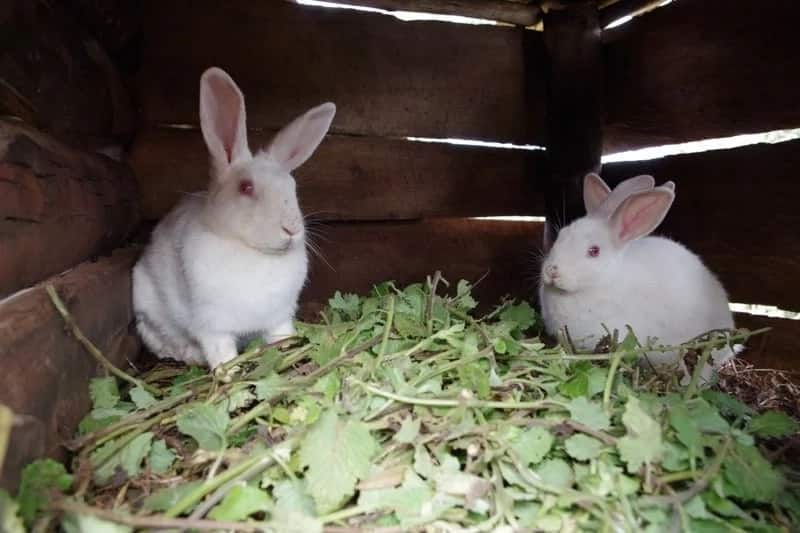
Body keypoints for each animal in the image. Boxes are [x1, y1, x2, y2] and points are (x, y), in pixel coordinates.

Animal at [133, 65, 336, 366]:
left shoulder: (280, 317)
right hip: (147, 309)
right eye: (246, 187)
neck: (254, 253)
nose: (291, 229)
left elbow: (281, 335)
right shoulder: (212, 327)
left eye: (292, 187)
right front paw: (226, 369)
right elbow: (221, 351)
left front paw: (288, 348)